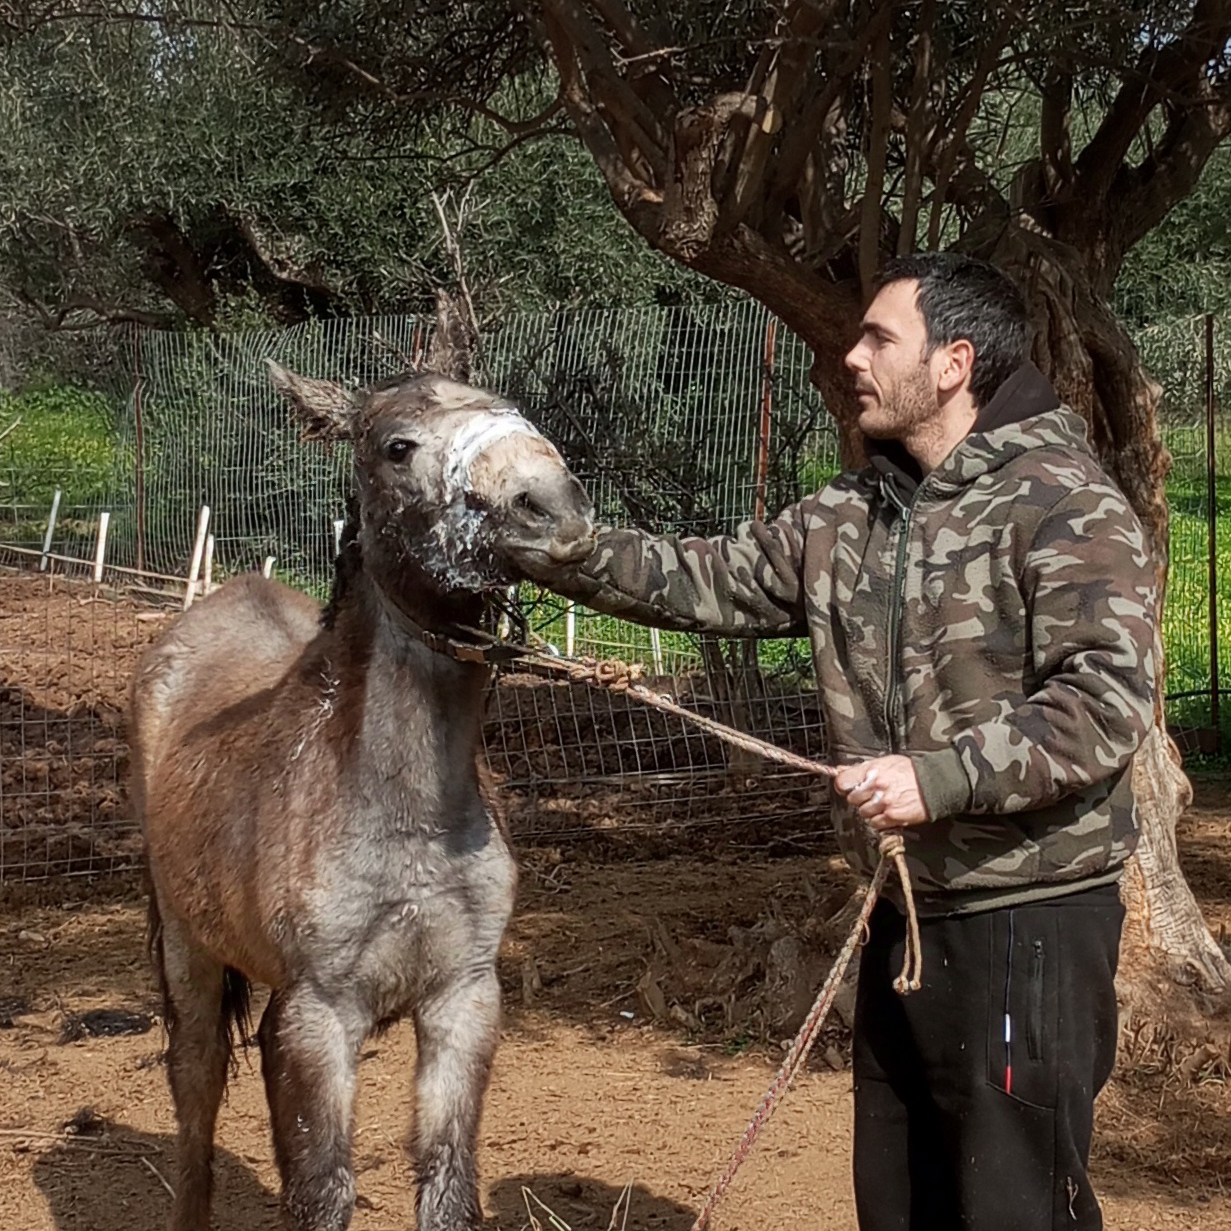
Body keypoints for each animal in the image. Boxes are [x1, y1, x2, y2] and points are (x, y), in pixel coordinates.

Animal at [129, 352, 595, 1226]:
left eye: (515, 410)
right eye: (397, 446)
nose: (554, 508)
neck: (408, 815)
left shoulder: (462, 1000)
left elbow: (445, 1180)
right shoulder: (323, 1011)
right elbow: (323, 1188)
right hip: (186, 943)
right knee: (196, 1085)